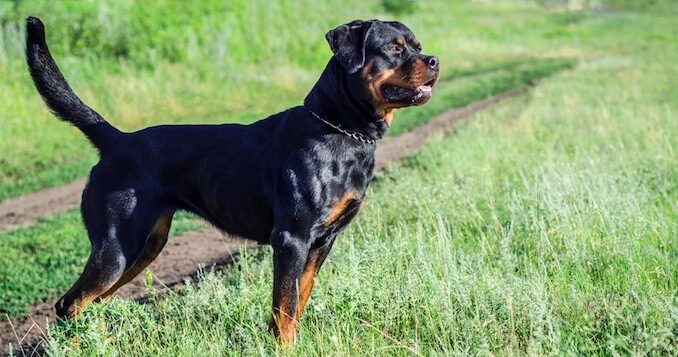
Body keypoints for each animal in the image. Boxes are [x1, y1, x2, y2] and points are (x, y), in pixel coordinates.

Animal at [23, 17, 440, 342]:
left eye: (418, 46)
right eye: (394, 48)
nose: (434, 60)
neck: (339, 128)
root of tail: (117, 140)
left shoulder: (322, 242)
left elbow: (297, 301)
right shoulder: (291, 239)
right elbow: (284, 307)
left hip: (143, 248)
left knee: (93, 303)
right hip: (116, 246)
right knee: (69, 304)